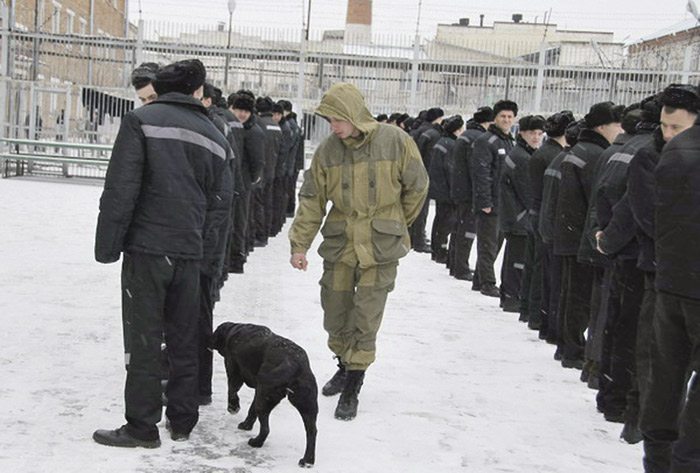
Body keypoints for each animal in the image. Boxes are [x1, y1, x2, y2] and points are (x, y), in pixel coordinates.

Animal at [208, 322, 318, 466]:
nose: (208, 339)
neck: (234, 330)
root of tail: (297, 366)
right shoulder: (258, 390)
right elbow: (251, 409)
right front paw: (246, 425)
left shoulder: (234, 371)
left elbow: (232, 390)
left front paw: (233, 407)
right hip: (306, 404)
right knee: (312, 431)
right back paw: (308, 460)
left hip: (265, 396)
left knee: (266, 428)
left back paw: (256, 442)